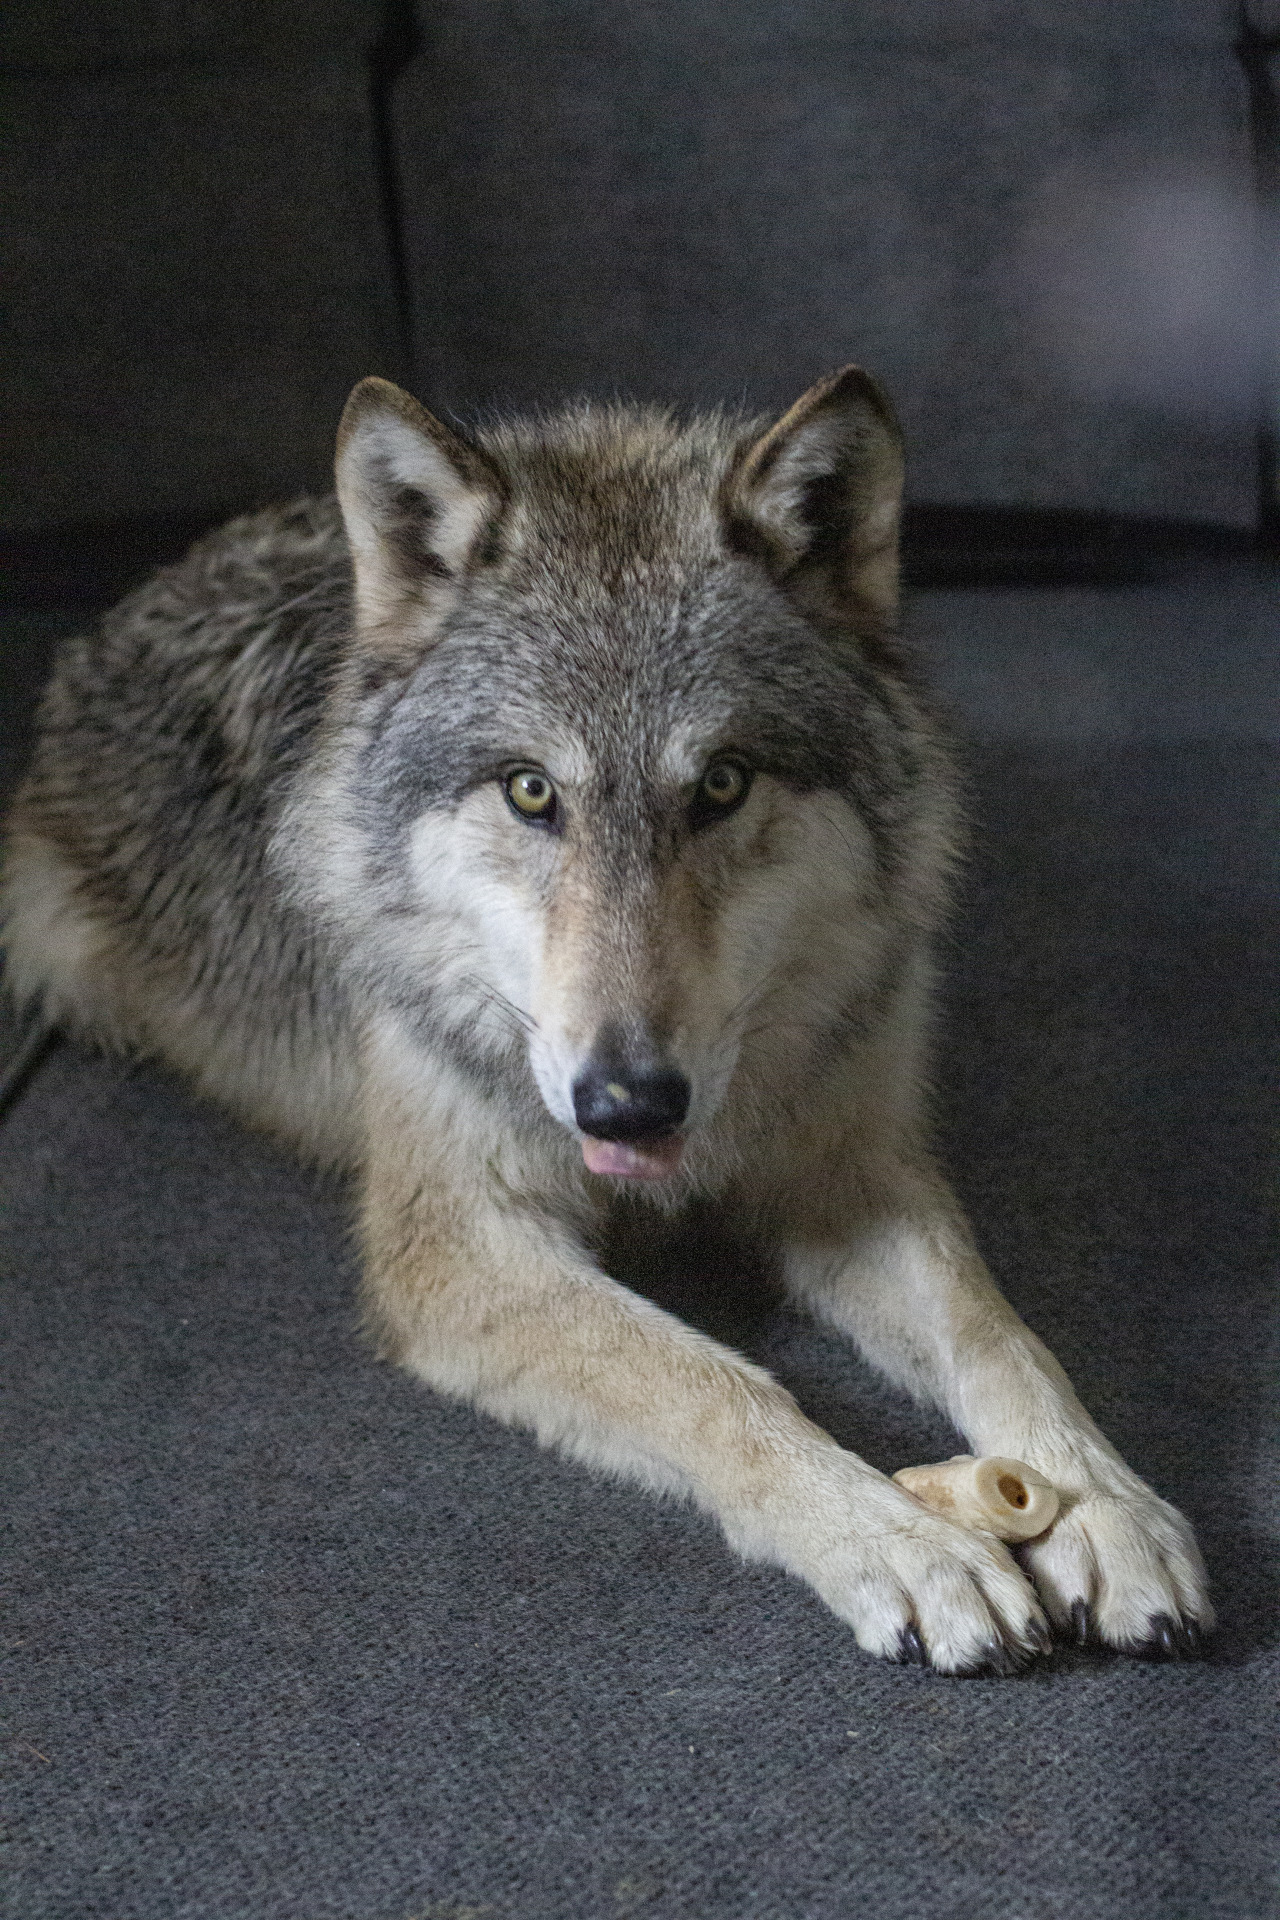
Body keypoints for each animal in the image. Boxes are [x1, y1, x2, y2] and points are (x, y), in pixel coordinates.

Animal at [2, 362, 1212, 1666]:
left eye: (721, 783)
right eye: (531, 792)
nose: (627, 1105)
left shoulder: (850, 1173)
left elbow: (998, 1336)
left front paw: (1102, 1505)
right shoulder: (458, 1247)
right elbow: (711, 1380)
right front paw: (902, 1542)